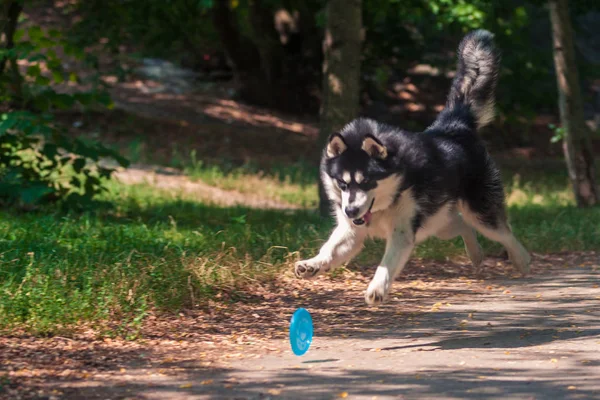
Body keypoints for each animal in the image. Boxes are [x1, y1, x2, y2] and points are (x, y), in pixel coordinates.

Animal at [294, 30, 528, 306]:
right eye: (342, 183)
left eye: (367, 182)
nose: (350, 210)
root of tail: (453, 126)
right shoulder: (352, 230)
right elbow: (330, 249)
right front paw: (313, 264)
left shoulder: (402, 232)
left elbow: (387, 264)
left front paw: (377, 288)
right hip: (437, 223)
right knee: (462, 225)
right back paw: (476, 253)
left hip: (479, 212)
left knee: (503, 232)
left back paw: (522, 259)